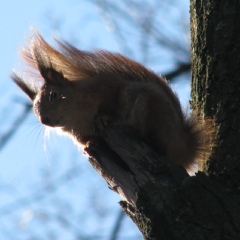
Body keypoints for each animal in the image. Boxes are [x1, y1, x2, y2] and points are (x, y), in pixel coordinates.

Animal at [11, 32, 214, 174]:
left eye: (53, 95)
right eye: (35, 111)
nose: (44, 120)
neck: (76, 117)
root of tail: (184, 148)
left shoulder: (105, 86)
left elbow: (111, 100)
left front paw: (103, 117)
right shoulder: (78, 134)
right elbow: (85, 140)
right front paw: (89, 145)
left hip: (150, 107)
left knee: (154, 141)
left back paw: (129, 128)